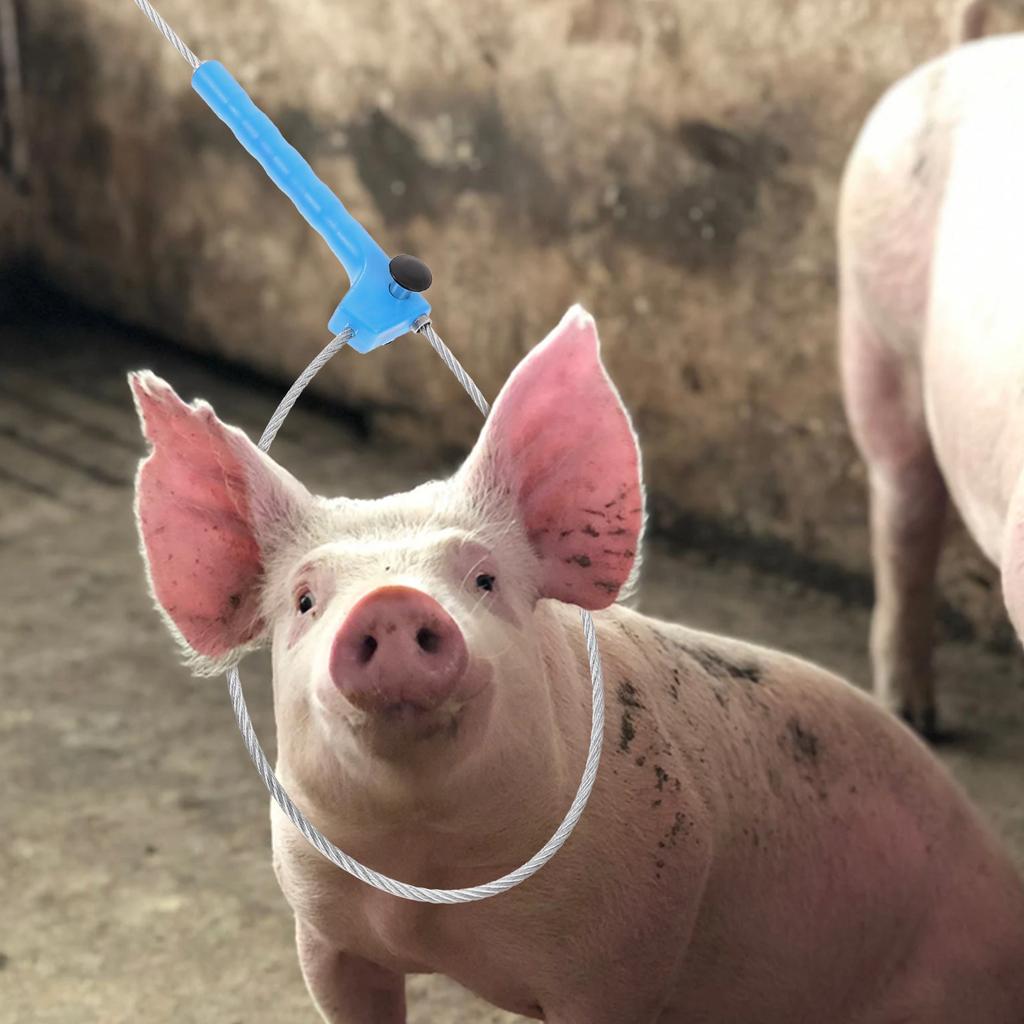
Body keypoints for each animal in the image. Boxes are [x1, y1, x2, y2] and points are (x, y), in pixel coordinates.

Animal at [131, 306, 1024, 1023]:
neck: (430, 876)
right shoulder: (322, 926)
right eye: (306, 601)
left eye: (485, 580)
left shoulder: (625, 947)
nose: (390, 601)